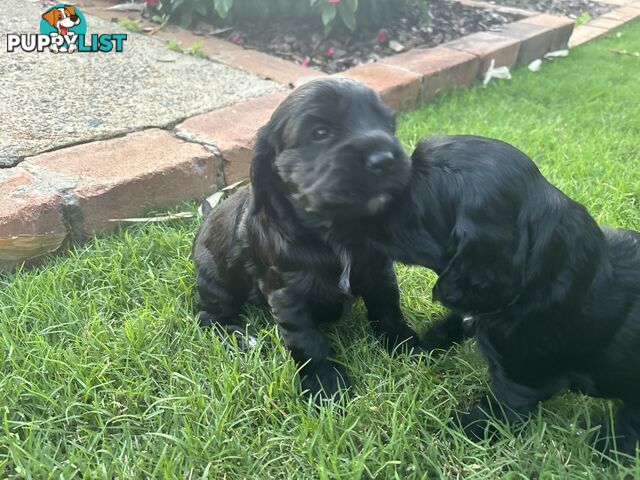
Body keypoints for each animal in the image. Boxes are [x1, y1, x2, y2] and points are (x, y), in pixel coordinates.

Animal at [192, 79, 428, 400]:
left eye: (388, 125)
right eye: (319, 133)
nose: (385, 159)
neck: (336, 233)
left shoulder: (380, 272)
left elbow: (388, 308)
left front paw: (407, 346)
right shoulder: (287, 295)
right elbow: (307, 341)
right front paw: (325, 386)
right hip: (219, 283)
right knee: (207, 316)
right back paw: (242, 337)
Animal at [370, 135, 640, 454]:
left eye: (415, 205)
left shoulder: (520, 380)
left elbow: (488, 414)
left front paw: (446, 435)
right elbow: (460, 319)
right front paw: (426, 342)